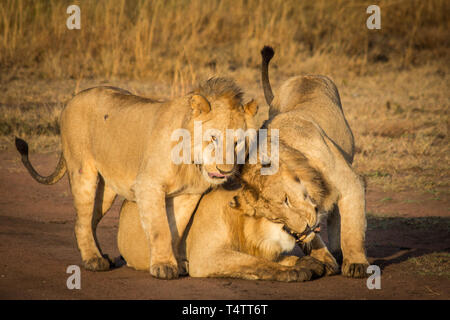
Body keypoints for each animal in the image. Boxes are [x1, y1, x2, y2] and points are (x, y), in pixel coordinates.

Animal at [15, 77, 258, 278]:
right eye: (213, 138)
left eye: (238, 142)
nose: (225, 170)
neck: (191, 164)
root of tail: (72, 99)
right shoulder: (148, 185)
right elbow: (160, 228)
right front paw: (163, 266)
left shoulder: (188, 195)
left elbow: (176, 229)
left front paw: (177, 263)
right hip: (84, 172)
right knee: (81, 221)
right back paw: (93, 260)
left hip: (106, 191)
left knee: (88, 220)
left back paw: (103, 256)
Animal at [117, 165, 326, 282]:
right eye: (286, 201)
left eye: (305, 195)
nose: (316, 211)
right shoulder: (206, 257)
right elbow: (255, 263)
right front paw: (296, 271)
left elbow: (275, 259)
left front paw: (309, 262)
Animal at [260, 45, 370, 278]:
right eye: (274, 219)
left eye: (286, 200)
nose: (293, 232)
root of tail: (305, 75)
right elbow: (313, 238)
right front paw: (324, 261)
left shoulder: (351, 183)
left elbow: (352, 228)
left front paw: (356, 264)